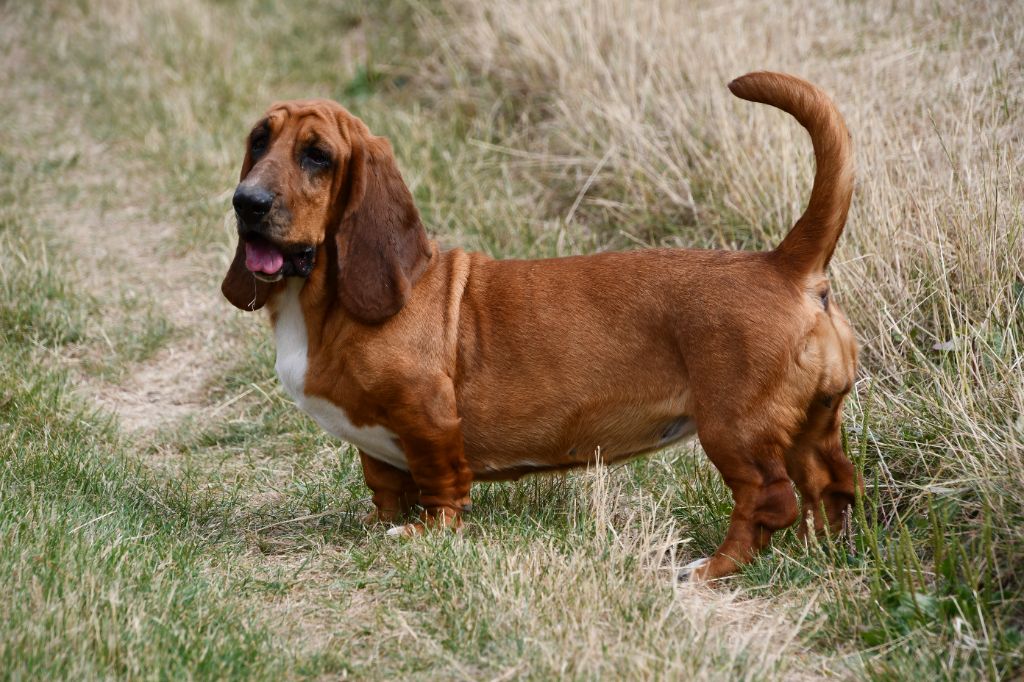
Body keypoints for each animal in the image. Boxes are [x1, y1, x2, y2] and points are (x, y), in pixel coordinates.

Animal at [222, 70, 856, 577]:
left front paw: (423, 533)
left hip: (735, 431)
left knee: (769, 501)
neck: (319, 302)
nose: (246, 202)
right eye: (259, 140)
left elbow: (441, 486)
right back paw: (819, 553)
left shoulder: (428, 417)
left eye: (318, 156)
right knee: (832, 486)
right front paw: (383, 524)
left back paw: (710, 570)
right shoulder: (375, 447)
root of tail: (783, 264)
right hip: (813, 424)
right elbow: (384, 485)